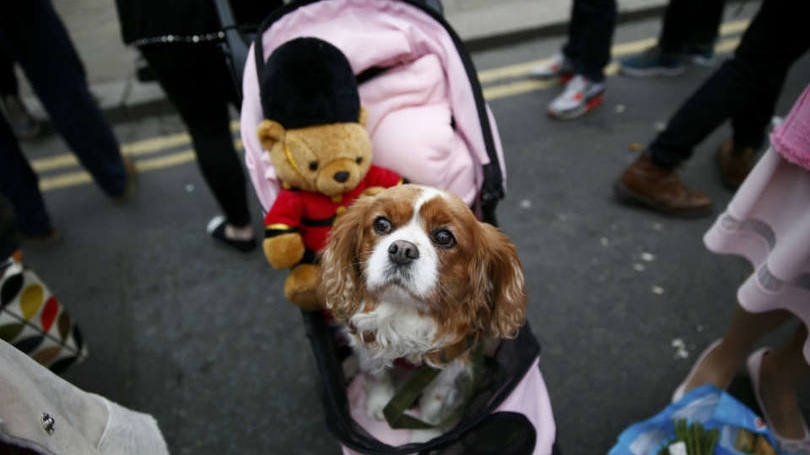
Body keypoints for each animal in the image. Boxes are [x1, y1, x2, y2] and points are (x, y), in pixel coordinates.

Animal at [316, 183, 524, 440]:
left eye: (444, 237)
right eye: (381, 224)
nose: (402, 249)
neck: (405, 311)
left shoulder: (449, 365)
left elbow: (434, 407)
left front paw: (425, 436)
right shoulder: (368, 341)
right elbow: (375, 374)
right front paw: (378, 404)